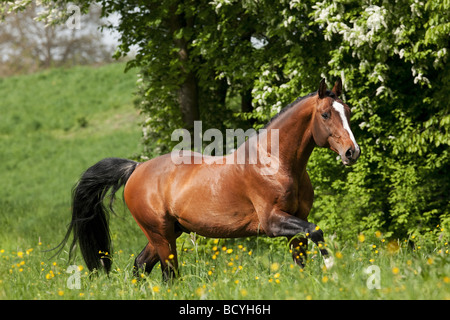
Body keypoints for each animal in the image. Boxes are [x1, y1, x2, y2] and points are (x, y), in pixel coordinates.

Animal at [60, 78, 362, 280]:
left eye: (347, 112)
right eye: (325, 114)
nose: (352, 152)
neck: (275, 163)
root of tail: (136, 168)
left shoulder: (296, 221)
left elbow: (302, 256)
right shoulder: (273, 221)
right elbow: (316, 231)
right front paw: (334, 270)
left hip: (168, 232)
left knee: (140, 265)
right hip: (161, 235)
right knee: (168, 275)